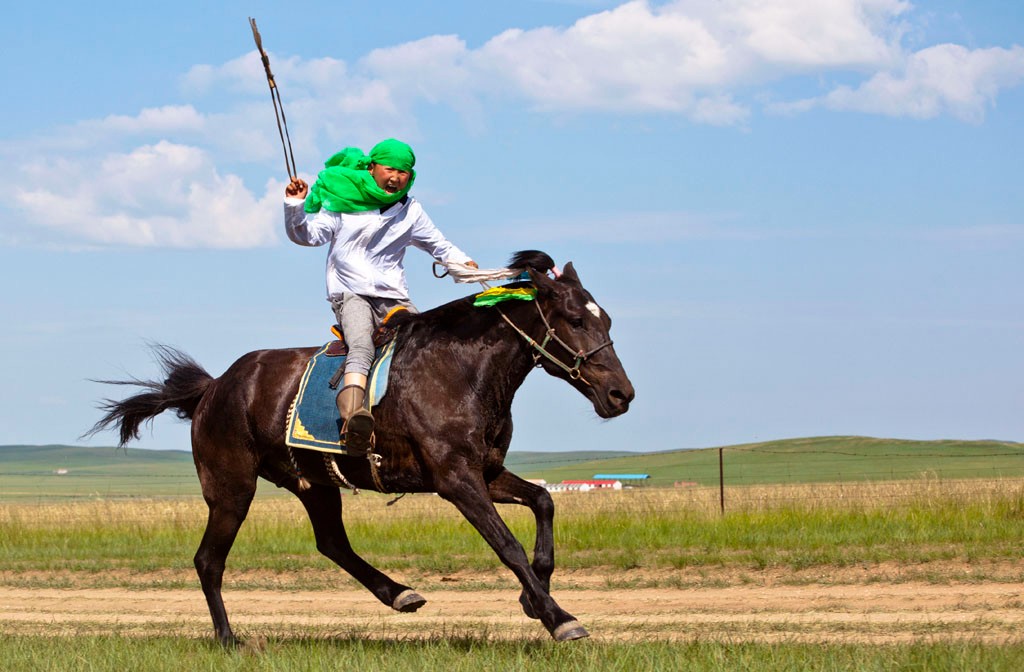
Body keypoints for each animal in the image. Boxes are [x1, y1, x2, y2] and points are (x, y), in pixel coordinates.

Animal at [88, 250, 634, 645]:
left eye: (606, 319)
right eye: (574, 319)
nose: (621, 394)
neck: (461, 370)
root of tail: (214, 387)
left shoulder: (486, 470)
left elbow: (543, 502)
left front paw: (535, 595)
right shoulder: (455, 479)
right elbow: (508, 545)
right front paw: (558, 617)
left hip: (314, 482)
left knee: (331, 542)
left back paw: (399, 593)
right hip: (231, 488)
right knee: (209, 560)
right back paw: (227, 638)